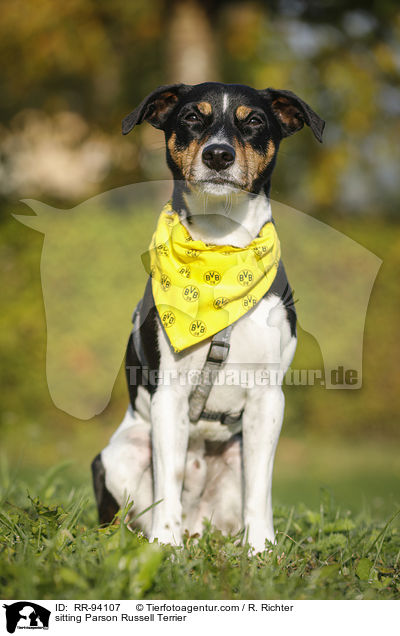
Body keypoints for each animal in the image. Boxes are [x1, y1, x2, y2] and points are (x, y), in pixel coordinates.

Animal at [91, 83, 324, 552]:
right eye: (191, 118)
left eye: (254, 121)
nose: (218, 154)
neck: (220, 251)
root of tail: (198, 526)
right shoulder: (169, 398)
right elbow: (170, 479)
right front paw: (165, 549)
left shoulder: (268, 399)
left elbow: (259, 488)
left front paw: (261, 551)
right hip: (122, 452)